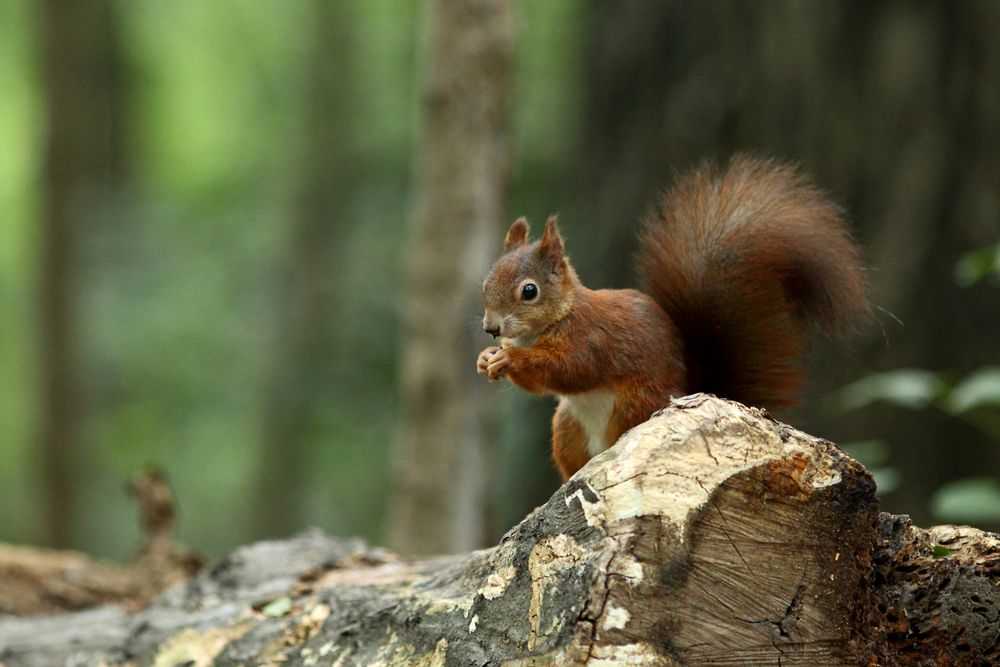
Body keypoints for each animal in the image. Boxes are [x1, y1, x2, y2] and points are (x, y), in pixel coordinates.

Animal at [476, 155, 868, 481]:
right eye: (486, 281)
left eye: (529, 291)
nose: (491, 328)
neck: (557, 318)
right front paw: (486, 359)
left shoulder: (592, 337)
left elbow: (570, 368)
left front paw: (510, 358)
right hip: (567, 428)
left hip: (636, 406)